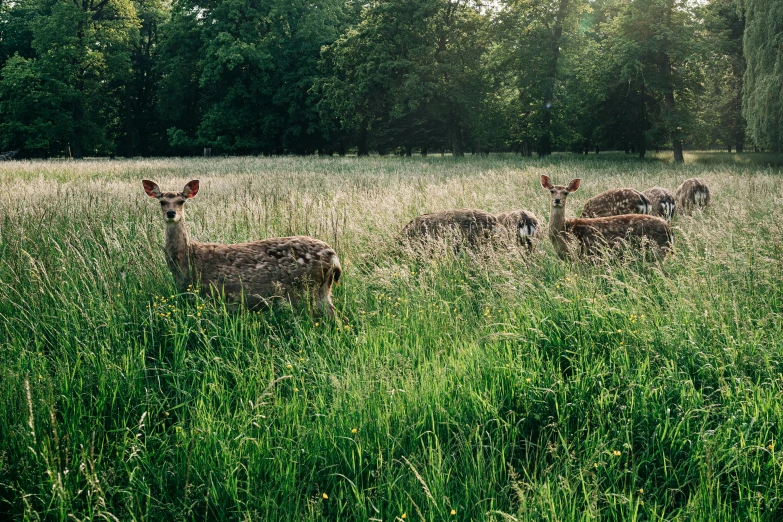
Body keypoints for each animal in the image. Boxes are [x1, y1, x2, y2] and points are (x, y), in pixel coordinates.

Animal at [142, 179, 342, 314]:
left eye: (181, 201)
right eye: (161, 201)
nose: (171, 213)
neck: (186, 260)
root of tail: (333, 256)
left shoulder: (210, 293)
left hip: (305, 288)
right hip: (322, 289)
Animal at [540, 176, 672, 260]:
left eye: (566, 192)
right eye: (552, 191)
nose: (557, 200)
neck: (563, 229)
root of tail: (669, 231)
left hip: (658, 252)